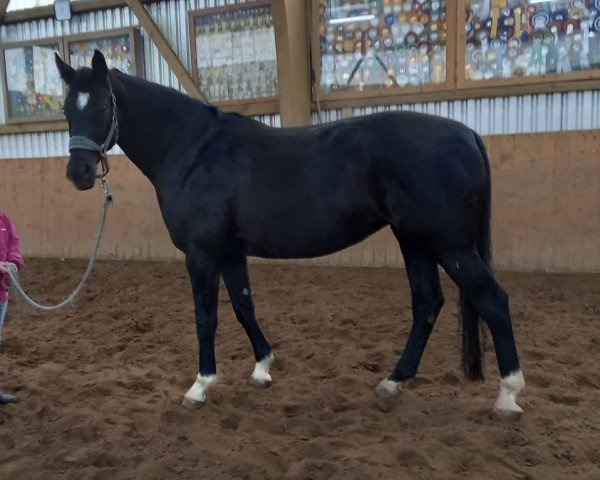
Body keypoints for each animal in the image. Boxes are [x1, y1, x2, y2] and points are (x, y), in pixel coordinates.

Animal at [55, 51, 524, 420]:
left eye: (103, 105)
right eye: (65, 109)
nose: (78, 173)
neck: (194, 151)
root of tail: (467, 134)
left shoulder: (202, 254)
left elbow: (206, 318)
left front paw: (200, 386)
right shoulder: (230, 253)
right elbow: (244, 307)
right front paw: (262, 368)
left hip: (450, 245)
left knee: (492, 302)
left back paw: (507, 397)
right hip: (416, 242)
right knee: (427, 304)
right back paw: (393, 382)